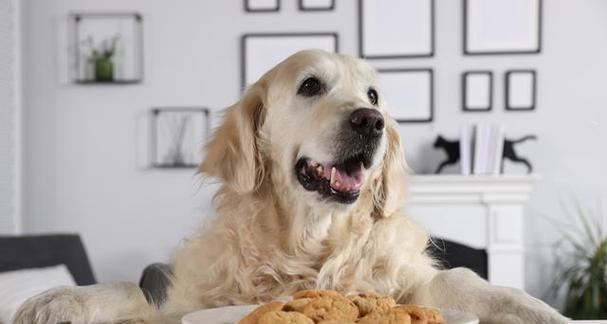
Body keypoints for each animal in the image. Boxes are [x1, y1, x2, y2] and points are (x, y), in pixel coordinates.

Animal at [13, 50, 564, 324]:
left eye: (373, 95)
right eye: (310, 86)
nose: (372, 122)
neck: (311, 246)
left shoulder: (408, 281)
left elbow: (462, 280)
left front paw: (529, 309)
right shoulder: (189, 305)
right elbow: (129, 288)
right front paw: (57, 301)